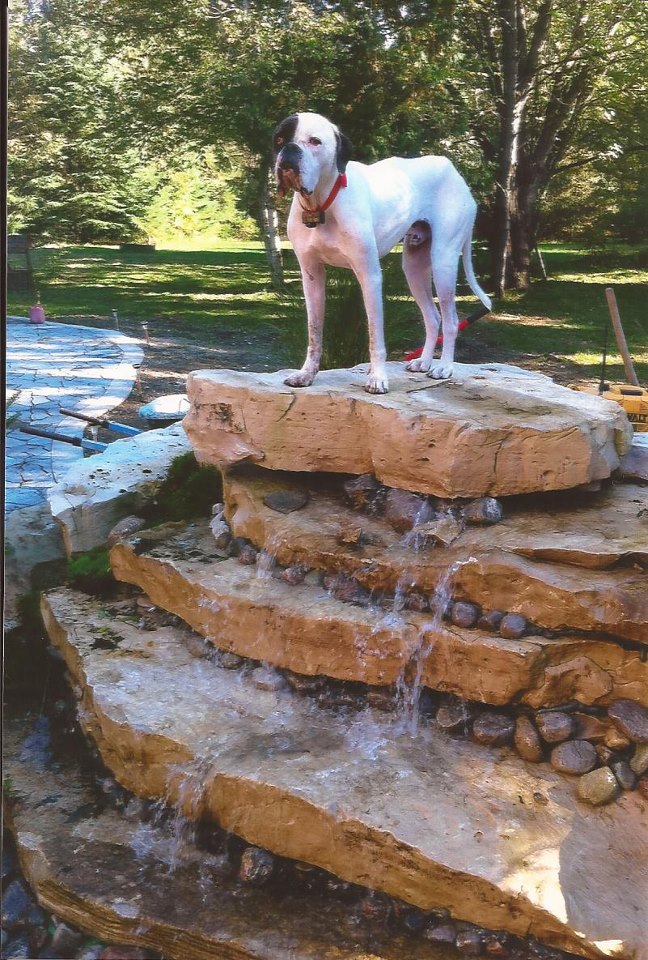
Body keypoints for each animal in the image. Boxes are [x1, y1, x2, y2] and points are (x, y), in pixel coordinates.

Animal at [274, 112, 492, 394]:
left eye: (314, 141)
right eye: (279, 140)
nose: (289, 150)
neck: (323, 203)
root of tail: (452, 169)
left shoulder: (370, 277)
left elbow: (375, 336)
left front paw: (377, 377)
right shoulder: (312, 277)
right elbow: (315, 334)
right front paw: (307, 374)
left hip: (443, 263)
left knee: (451, 320)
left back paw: (444, 367)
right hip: (414, 268)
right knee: (433, 318)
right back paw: (423, 361)